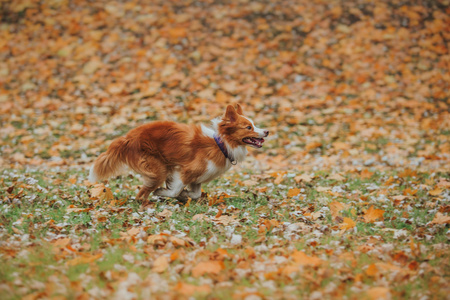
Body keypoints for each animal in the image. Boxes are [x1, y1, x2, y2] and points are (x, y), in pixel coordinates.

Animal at [89, 104, 268, 200]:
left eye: (254, 125)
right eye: (248, 127)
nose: (266, 131)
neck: (221, 144)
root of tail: (127, 138)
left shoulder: (197, 177)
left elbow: (195, 193)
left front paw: (184, 195)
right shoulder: (185, 170)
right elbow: (175, 189)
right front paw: (164, 192)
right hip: (158, 169)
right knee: (141, 194)